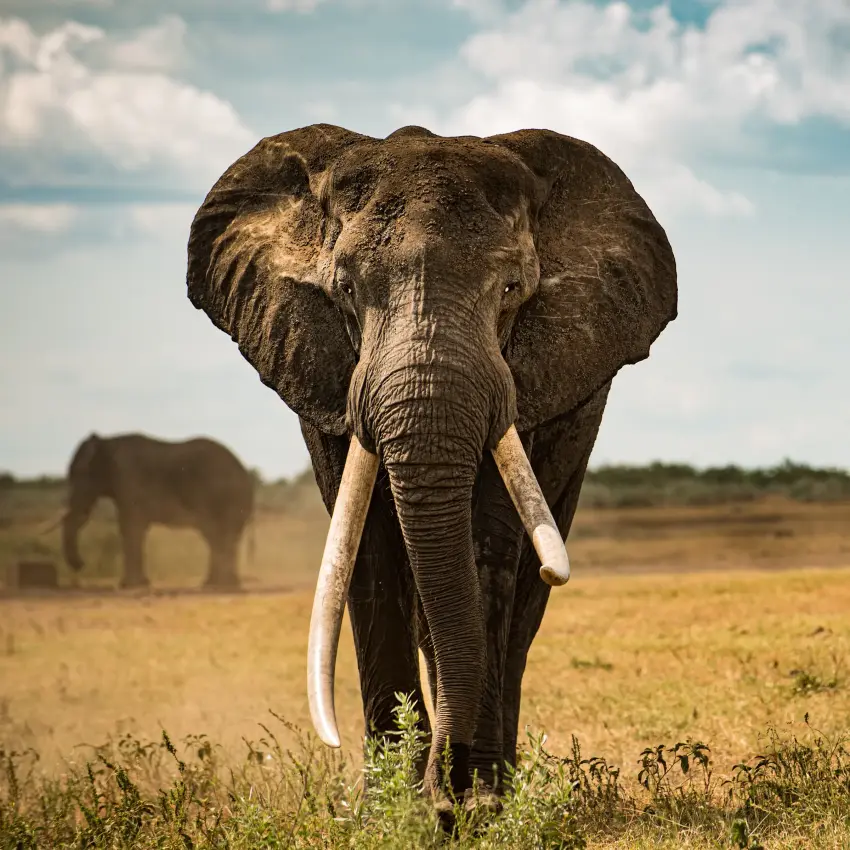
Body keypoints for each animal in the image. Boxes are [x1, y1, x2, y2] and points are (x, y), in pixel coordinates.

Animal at [61, 433, 255, 590]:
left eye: (81, 472)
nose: (81, 565)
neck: (108, 442)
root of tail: (244, 472)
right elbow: (133, 528)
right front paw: (138, 584)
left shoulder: (129, 480)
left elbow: (130, 527)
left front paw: (130, 585)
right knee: (218, 537)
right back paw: (217, 583)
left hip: (224, 497)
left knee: (218, 535)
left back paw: (221, 584)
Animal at [186, 123, 677, 808]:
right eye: (344, 290)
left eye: (511, 290)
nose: (445, 795)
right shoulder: (326, 375)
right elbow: (367, 551)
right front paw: (392, 808)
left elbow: (487, 550)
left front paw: (477, 805)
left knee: (522, 605)